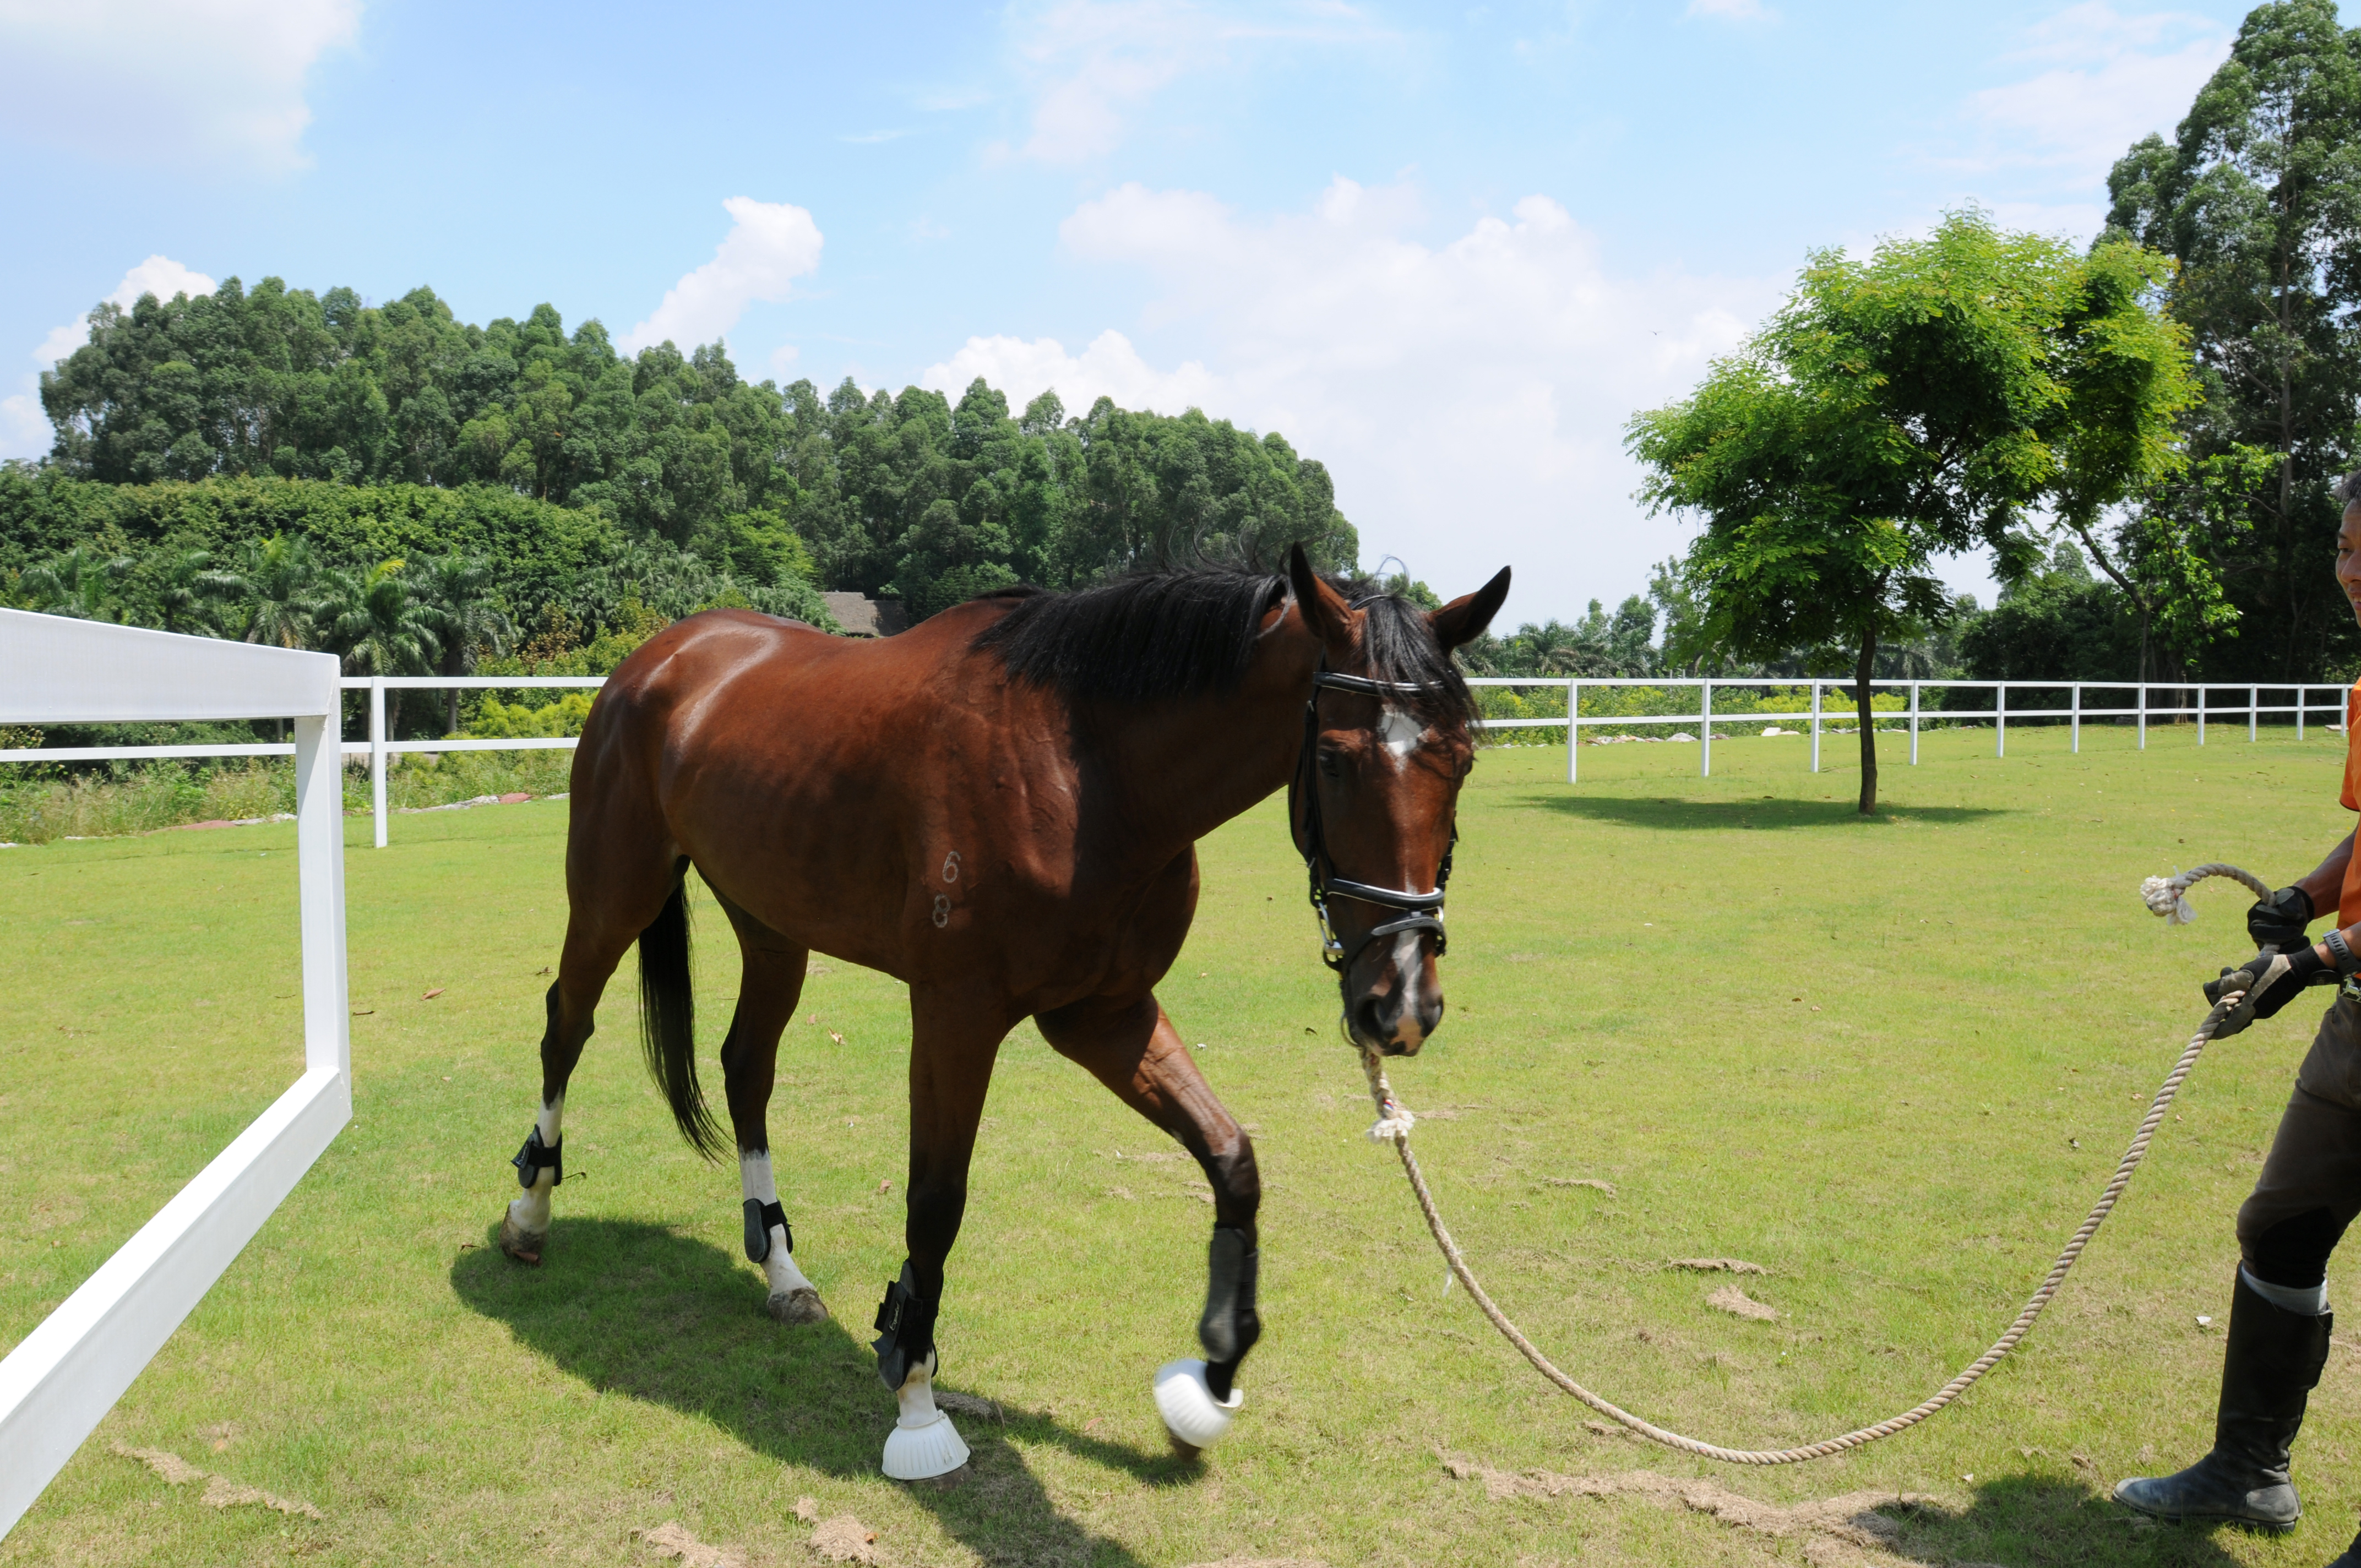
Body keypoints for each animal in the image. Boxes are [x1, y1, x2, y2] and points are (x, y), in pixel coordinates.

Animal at [493, 545, 1511, 1473]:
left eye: (1462, 759)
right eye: (1334, 762)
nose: (1400, 1000)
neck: (1086, 765)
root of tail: (663, 655)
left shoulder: (1105, 1015)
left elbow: (1231, 1159)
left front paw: (1214, 1372)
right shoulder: (957, 1012)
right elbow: (935, 1200)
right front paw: (914, 1392)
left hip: (773, 925)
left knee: (746, 1066)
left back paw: (782, 1269)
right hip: (614, 891)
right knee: (565, 1026)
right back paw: (530, 1214)